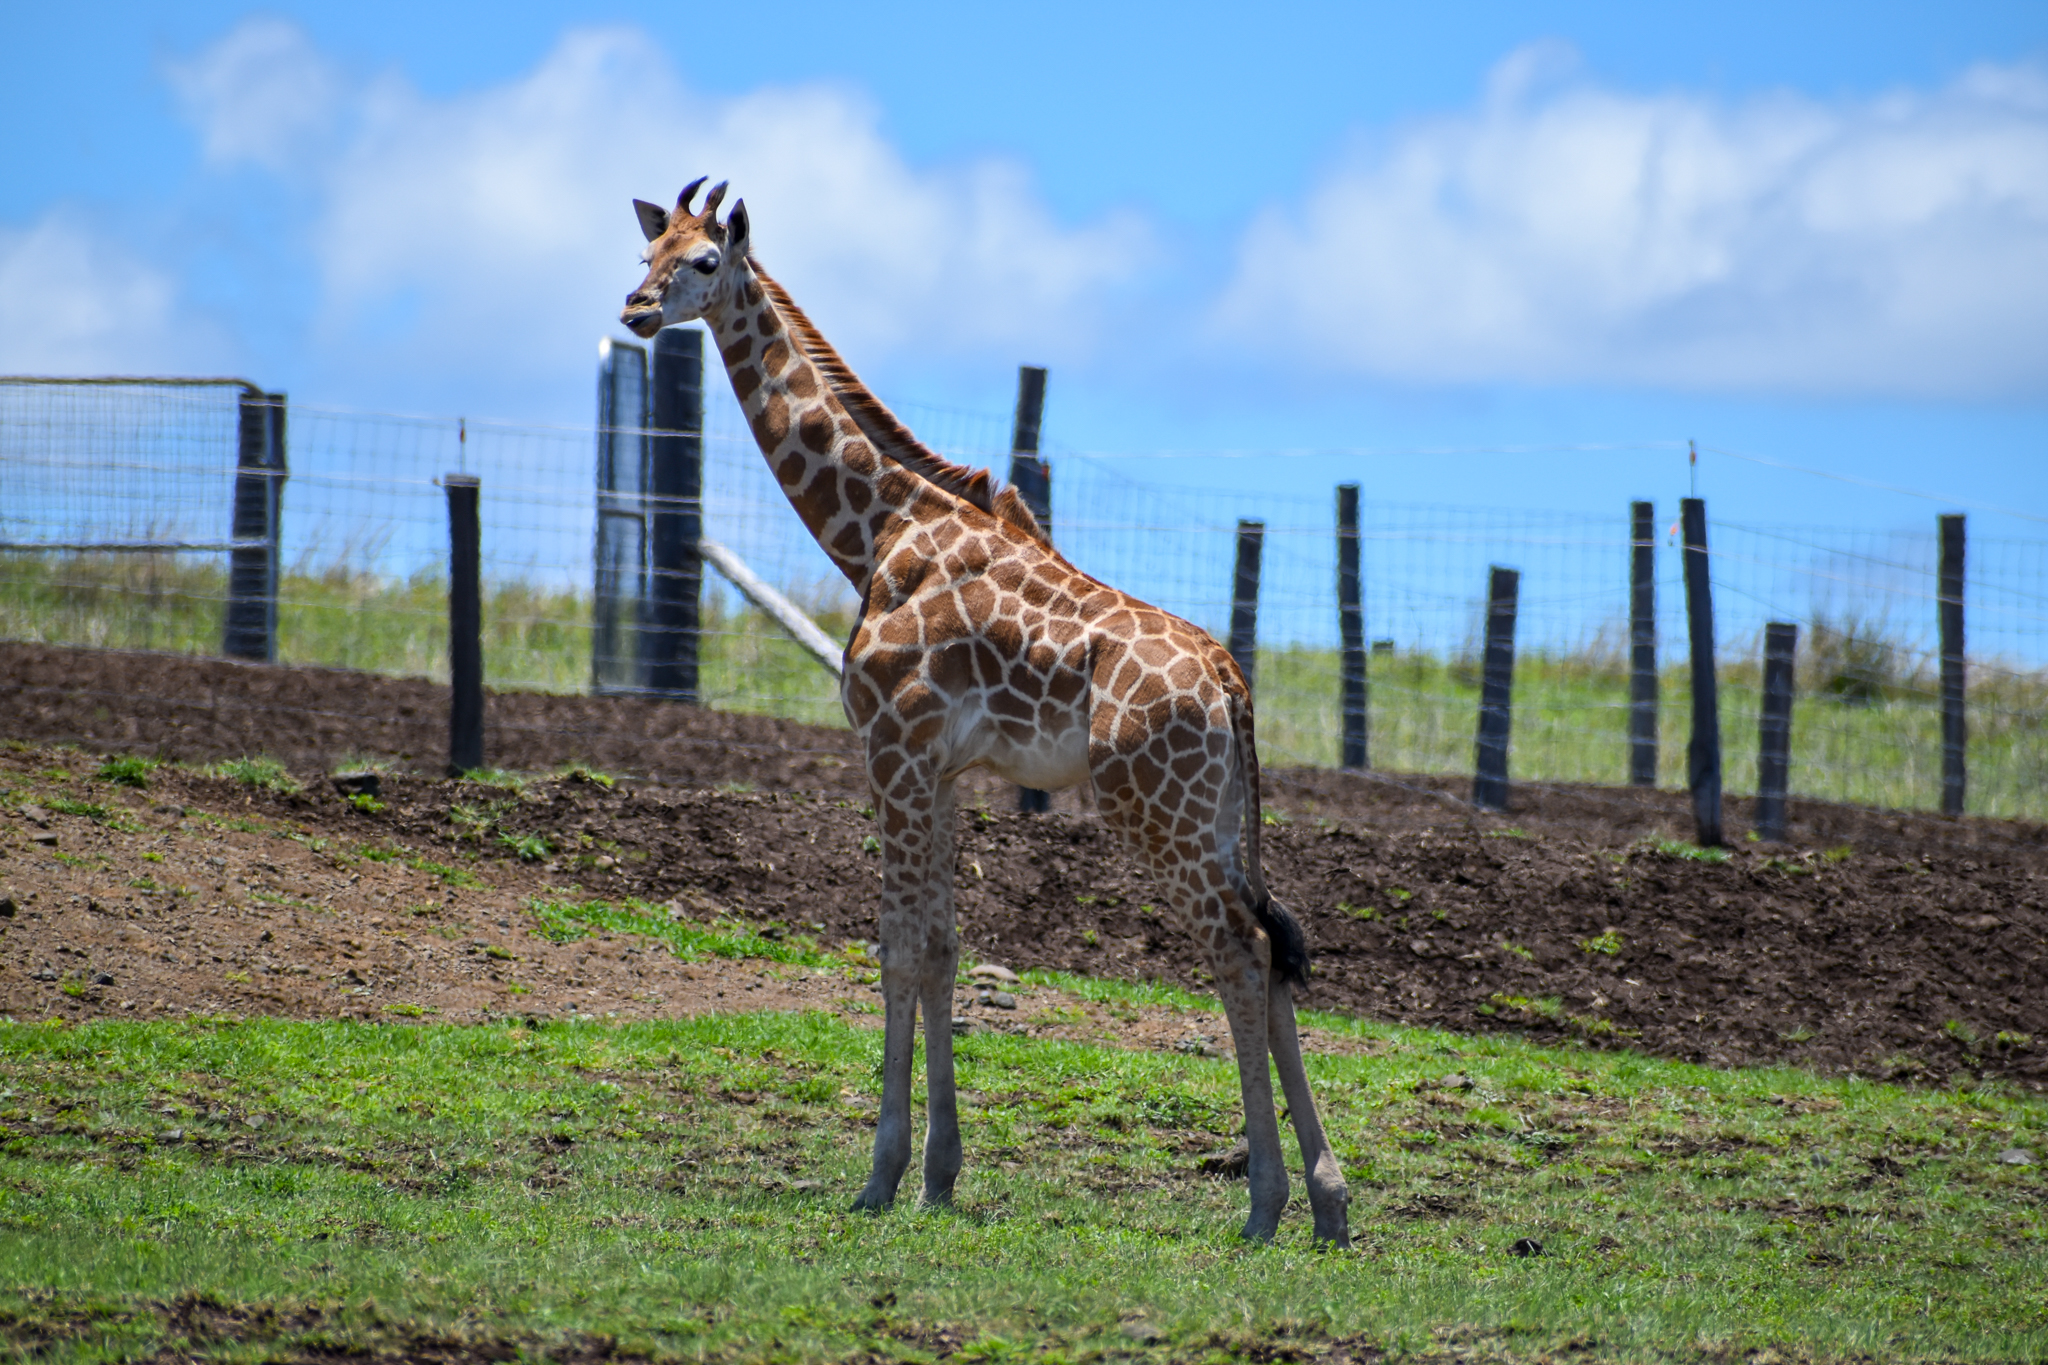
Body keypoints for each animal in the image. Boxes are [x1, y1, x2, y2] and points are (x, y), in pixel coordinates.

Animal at [621, 179, 1350, 1245]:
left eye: (704, 262)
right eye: (649, 251)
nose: (634, 310)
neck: (875, 530)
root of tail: (1231, 679)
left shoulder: (893, 749)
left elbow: (896, 948)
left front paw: (880, 1175)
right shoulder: (946, 770)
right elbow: (944, 948)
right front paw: (938, 1174)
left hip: (1154, 809)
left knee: (1240, 947)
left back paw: (1264, 1203)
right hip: (1217, 813)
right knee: (1276, 945)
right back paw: (1330, 1203)